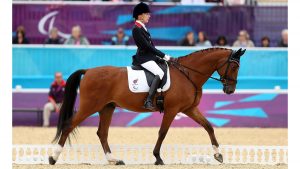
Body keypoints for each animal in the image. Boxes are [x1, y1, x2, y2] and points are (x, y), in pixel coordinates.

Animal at [49, 46, 246, 166]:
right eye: (234, 67)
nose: (230, 90)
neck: (188, 74)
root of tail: (88, 71)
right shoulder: (172, 110)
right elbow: (162, 132)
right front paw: (158, 157)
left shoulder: (189, 109)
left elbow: (208, 126)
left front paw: (218, 154)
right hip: (89, 106)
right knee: (69, 125)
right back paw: (53, 157)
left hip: (107, 107)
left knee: (102, 133)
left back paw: (114, 160)